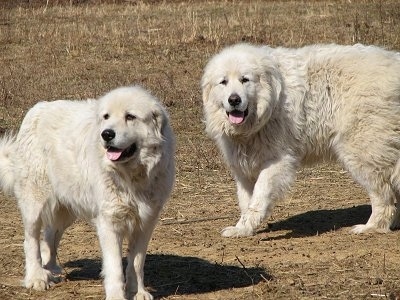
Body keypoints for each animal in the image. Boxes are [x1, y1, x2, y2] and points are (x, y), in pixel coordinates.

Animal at [0, 85, 175, 298]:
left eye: (130, 116)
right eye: (106, 116)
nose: (106, 134)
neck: (131, 176)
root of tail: (38, 108)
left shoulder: (145, 222)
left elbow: (136, 263)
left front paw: (137, 291)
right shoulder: (109, 222)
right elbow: (115, 267)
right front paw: (117, 295)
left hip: (66, 208)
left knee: (49, 235)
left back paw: (52, 269)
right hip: (35, 203)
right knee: (31, 240)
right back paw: (37, 277)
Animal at [202, 43, 400, 238]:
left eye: (245, 80)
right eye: (223, 82)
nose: (234, 99)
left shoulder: (277, 161)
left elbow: (260, 196)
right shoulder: (244, 169)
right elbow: (246, 202)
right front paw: (243, 229)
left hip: (362, 154)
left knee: (383, 196)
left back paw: (372, 227)